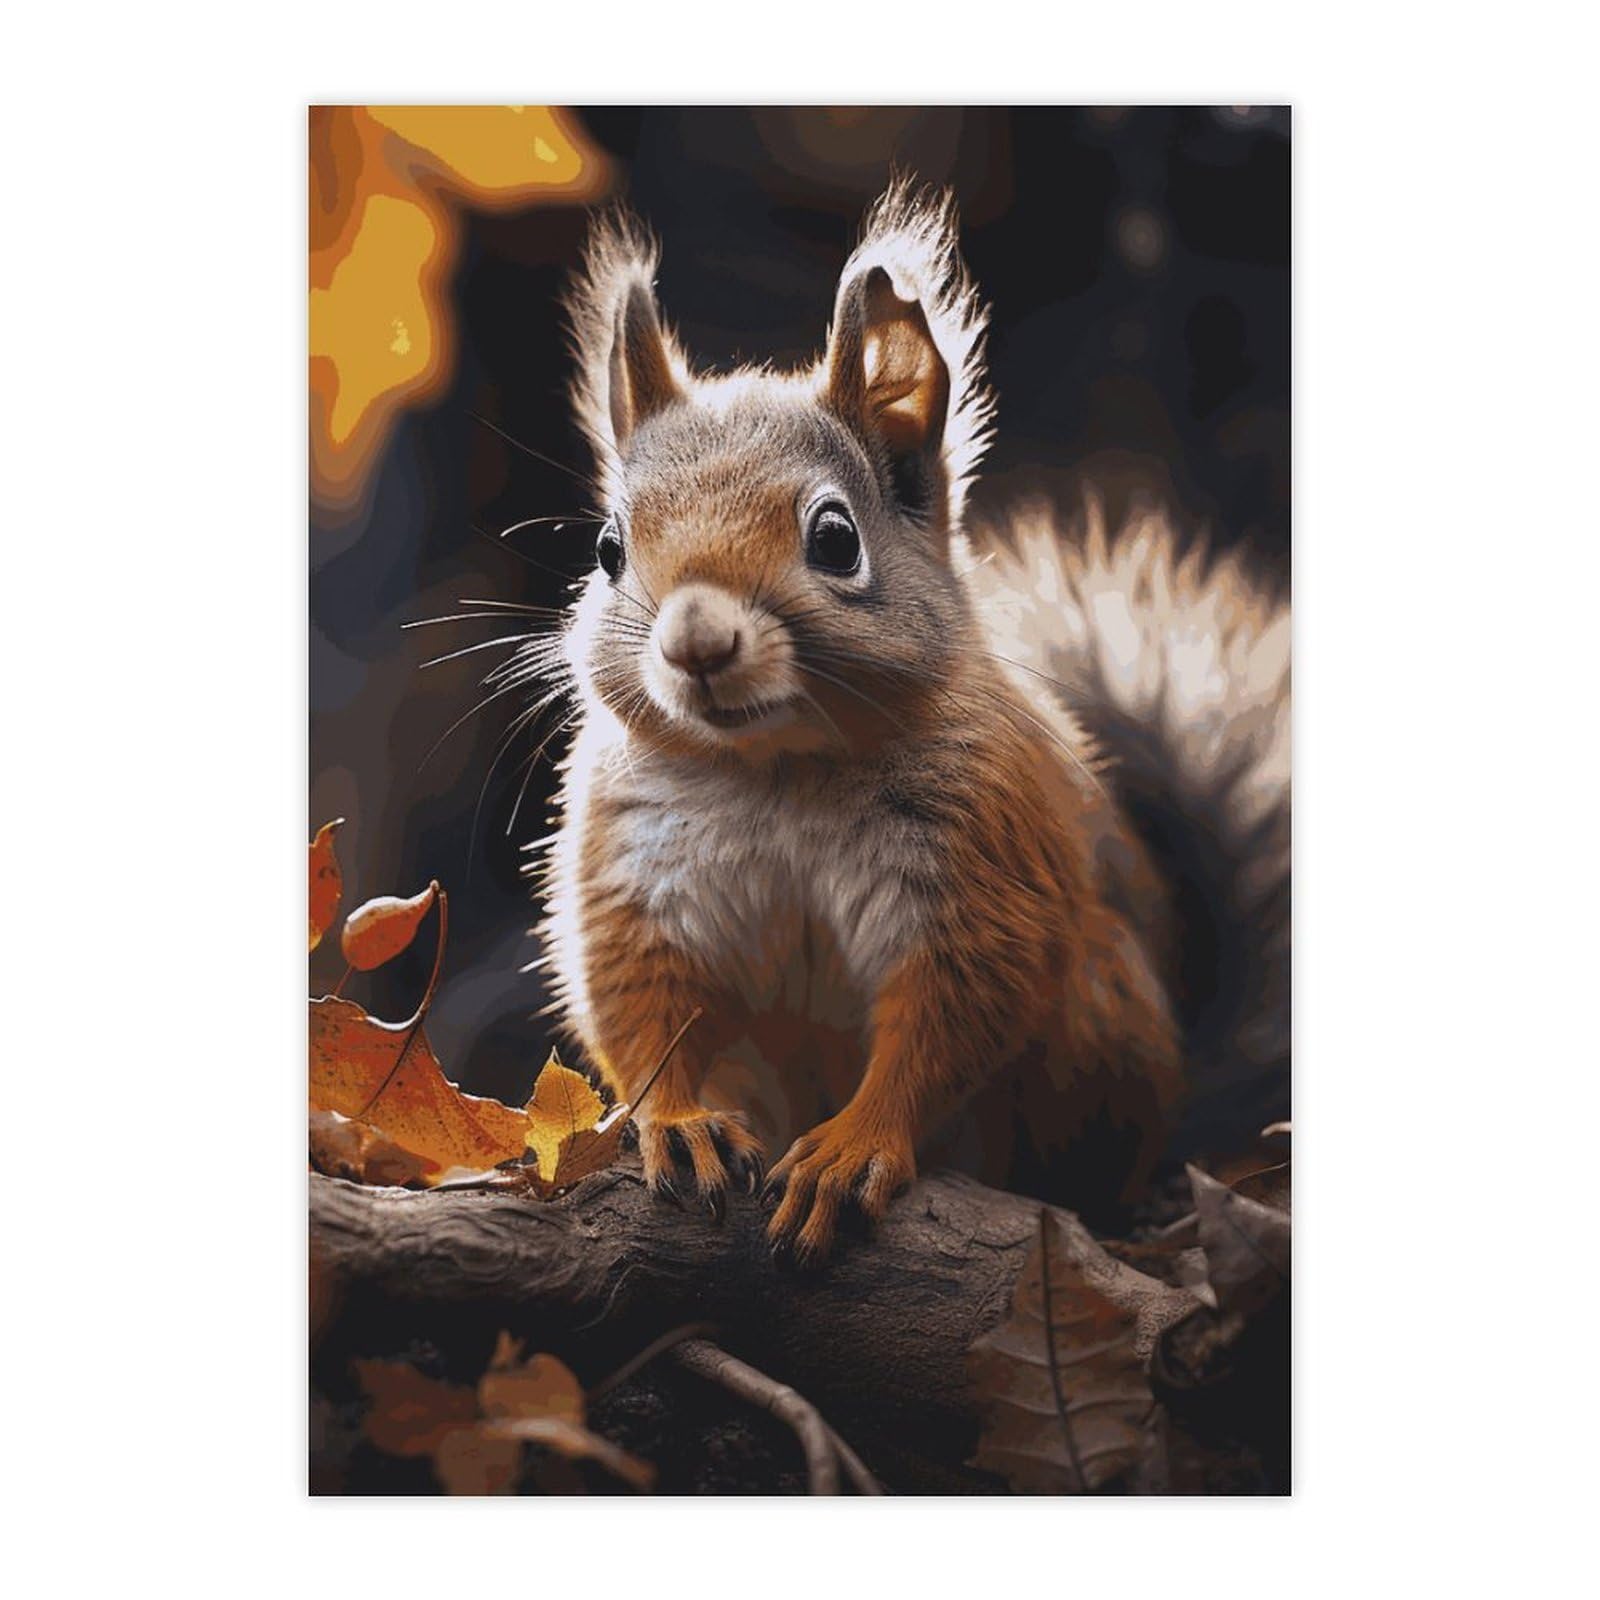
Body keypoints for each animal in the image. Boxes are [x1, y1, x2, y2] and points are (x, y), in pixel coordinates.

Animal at [527, 180, 1290, 1264]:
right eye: (607, 549)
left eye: (836, 539)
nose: (695, 643)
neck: (776, 770)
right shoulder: (634, 869)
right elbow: (641, 1005)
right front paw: (679, 1121)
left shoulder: (978, 864)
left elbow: (950, 1015)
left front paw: (853, 1147)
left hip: (1100, 1030)